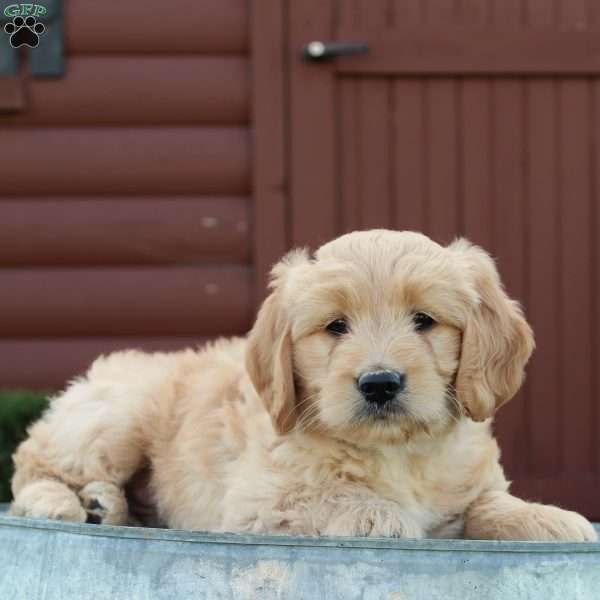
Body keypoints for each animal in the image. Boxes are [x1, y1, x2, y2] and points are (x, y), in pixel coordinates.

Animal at [8, 232, 596, 540]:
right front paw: (389, 519)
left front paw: (552, 519)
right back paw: (63, 503)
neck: (398, 454)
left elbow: (490, 504)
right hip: (114, 418)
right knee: (31, 465)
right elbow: (344, 500)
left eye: (424, 320)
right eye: (336, 326)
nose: (380, 383)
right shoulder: (261, 503)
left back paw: (105, 505)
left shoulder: (471, 484)